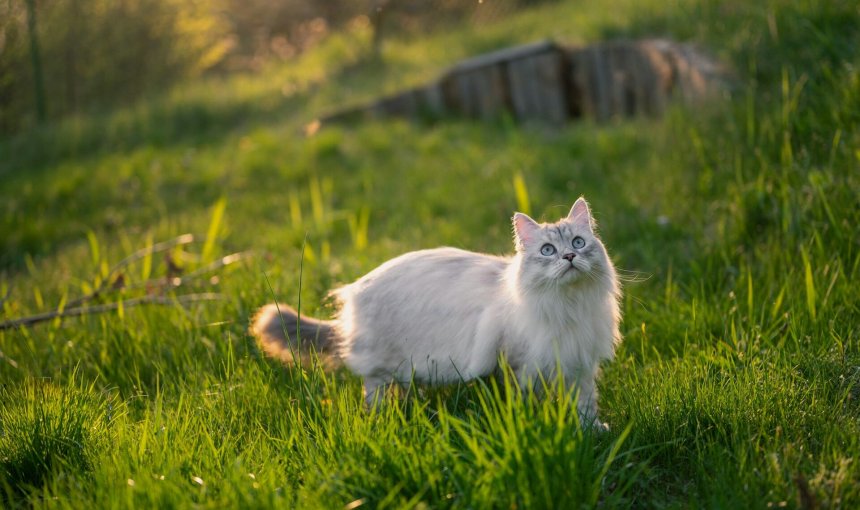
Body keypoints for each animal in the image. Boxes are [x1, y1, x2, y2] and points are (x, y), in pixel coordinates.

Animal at [252, 197, 620, 428]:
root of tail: (355, 289)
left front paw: (592, 431)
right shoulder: (522, 365)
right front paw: (536, 427)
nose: (569, 258)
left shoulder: (579, 363)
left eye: (577, 243)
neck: (568, 306)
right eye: (547, 250)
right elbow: (526, 404)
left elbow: (585, 404)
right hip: (381, 366)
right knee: (374, 391)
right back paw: (383, 419)